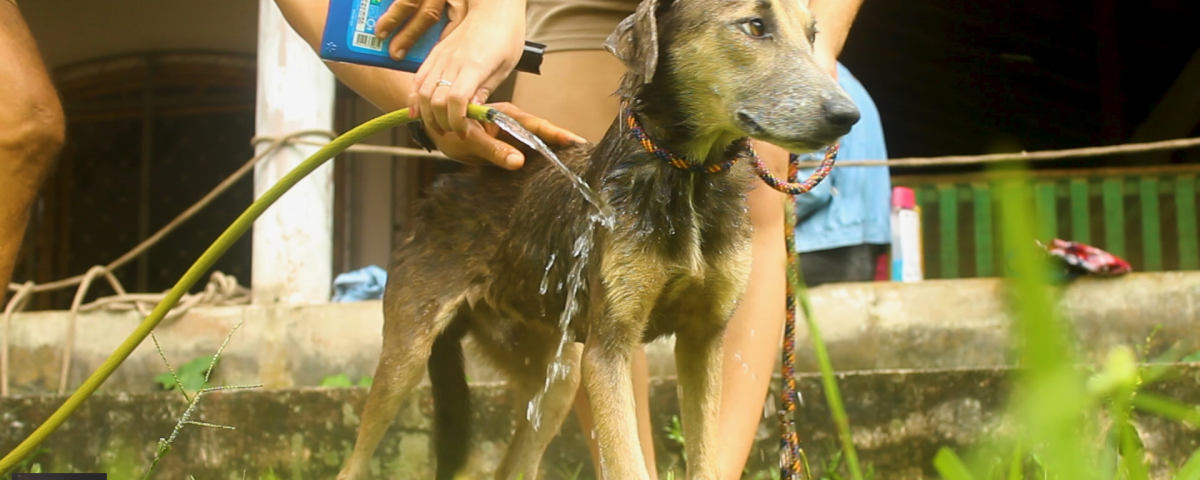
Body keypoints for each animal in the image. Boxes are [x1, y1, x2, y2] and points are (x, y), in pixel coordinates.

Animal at [336, 0, 864, 475]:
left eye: (813, 35)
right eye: (754, 26)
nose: (848, 116)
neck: (688, 174)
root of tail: (438, 191)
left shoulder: (704, 338)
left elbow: (706, 459)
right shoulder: (609, 347)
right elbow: (628, 462)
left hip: (556, 377)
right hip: (407, 357)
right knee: (354, 462)